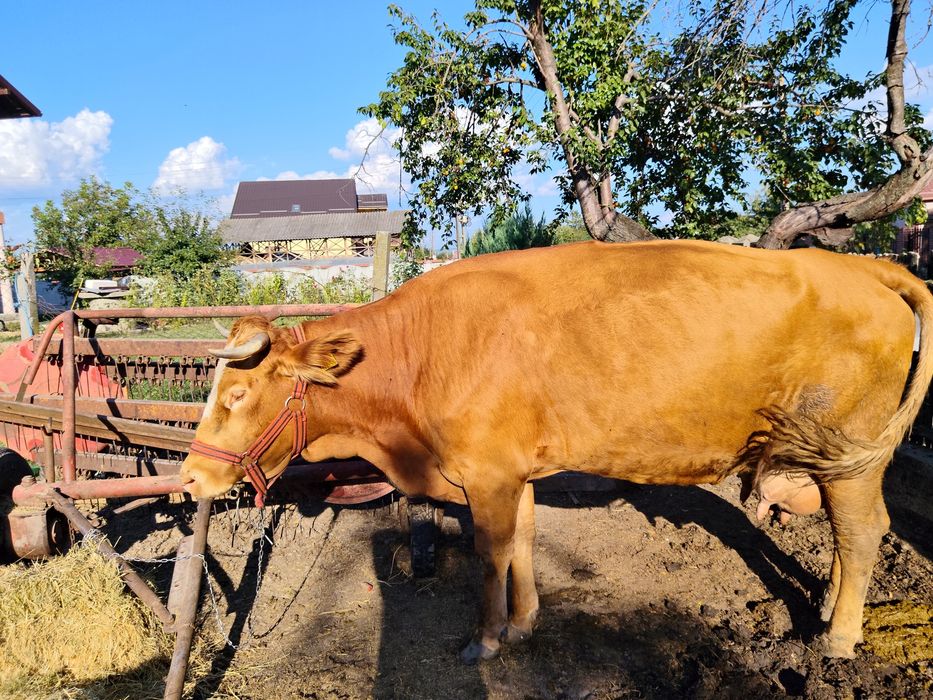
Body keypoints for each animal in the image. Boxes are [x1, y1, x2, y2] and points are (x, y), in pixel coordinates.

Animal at [180, 240, 933, 663]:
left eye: (237, 394)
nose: (188, 478)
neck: (420, 356)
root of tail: (860, 269)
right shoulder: (514, 473)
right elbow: (522, 542)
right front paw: (524, 623)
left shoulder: (486, 474)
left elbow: (490, 555)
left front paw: (485, 639)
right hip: (834, 460)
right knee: (844, 536)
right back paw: (827, 610)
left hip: (853, 456)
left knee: (862, 531)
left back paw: (838, 638)